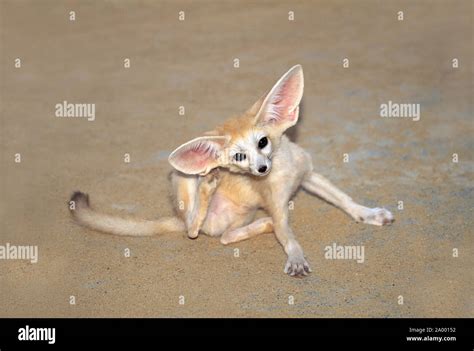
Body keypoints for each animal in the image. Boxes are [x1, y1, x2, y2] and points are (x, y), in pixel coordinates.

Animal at [67, 64, 392, 278]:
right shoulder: (277, 206)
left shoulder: (309, 175)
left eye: (263, 142)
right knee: (192, 228)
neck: (282, 174)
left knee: (224, 237)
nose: (261, 168)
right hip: (182, 179)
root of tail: (174, 217)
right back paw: (209, 186)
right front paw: (296, 257)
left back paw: (260, 224)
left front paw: (369, 213)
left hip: (239, 217)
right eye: (239, 156)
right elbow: (289, 237)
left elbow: (345, 200)